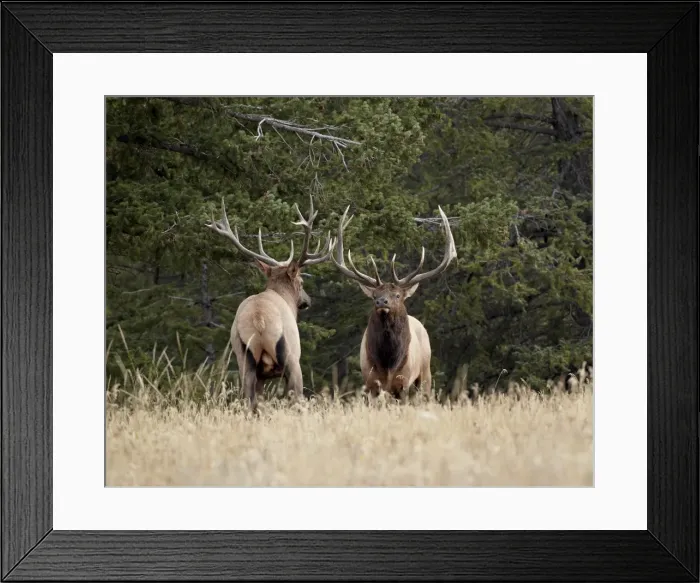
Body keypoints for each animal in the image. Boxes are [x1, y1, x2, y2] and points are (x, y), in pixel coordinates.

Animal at [206, 195, 334, 413]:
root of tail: (258, 319)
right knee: (296, 398)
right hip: (291, 358)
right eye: (301, 282)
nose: (307, 300)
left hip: (244, 360)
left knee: (250, 402)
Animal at [331, 205, 457, 404]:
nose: (381, 301)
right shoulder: (371, 381)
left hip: (425, 372)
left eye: (397, 295)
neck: (388, 364)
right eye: (374, 295)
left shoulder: (402, 381)